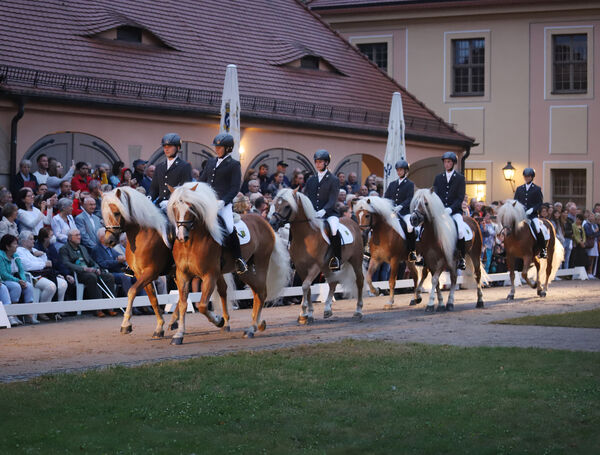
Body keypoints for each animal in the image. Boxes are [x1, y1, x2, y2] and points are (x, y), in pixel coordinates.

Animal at [101, 185, 173, 338]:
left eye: (116, 213)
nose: (109, 241)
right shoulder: (141, 274)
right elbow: (153, 299)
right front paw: (159, 327)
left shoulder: (151, 272)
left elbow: (132, 291)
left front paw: (125, 324)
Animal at [168, 182, 292, 346]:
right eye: (174, 207)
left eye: (191, 207)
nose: (182, 236)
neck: (191, 243)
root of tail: (265, 223)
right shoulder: (182, 275)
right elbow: (183, 304)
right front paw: (179, 334)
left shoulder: (210, 275)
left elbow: (202, 305)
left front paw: (219, 320)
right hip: (245, 271)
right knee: (257, 292)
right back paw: (258, 324)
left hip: (261, 264)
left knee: (261, 292)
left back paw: (251, 329)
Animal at [268, 188, 364, 324]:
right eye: (276, 204)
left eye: (287, 206)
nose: (273, 223)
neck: (305, 236)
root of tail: (352, 221)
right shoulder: (301, 267)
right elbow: (306, 288)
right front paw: (306, 314)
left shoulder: (315, 266)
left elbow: (305, 286)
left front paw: (305, 312)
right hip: (327, 267)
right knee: (333, 282)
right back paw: (327, 309)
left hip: (355, 260)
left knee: (359, 281)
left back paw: (358, 311)